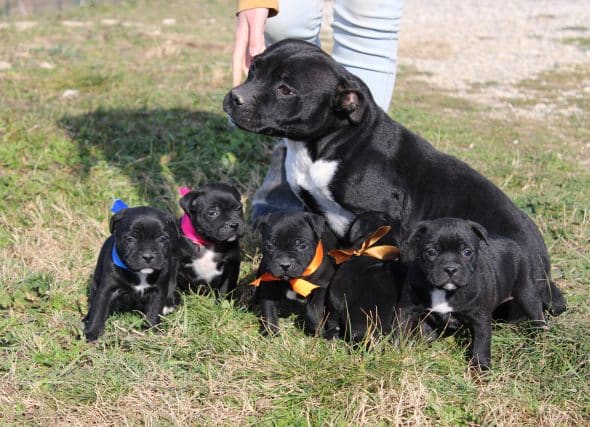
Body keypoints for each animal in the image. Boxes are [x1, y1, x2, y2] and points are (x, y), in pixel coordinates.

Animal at [82, 199, 180, 342]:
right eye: (130, 239)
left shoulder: (158, 290)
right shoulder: (107, 289)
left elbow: (153, 311)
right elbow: (98, 310)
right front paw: (91, 333)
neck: (141, 273)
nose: (148, 256)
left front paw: (151, 331)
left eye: (162, 239)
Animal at [224, 40, 568, 320]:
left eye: (286, 89)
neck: (328, 143)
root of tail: (544, 274)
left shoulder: (378, 219)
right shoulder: (318, 213)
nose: (233, 97)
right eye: (253, 68)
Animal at [400, 219, 548, 370]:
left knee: (536, 314)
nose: (450, 268)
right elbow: (401, 331)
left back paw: (539, 341)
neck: (445, 291)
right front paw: (400, 352)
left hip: (526, 292)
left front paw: (480, 369)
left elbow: (480, 345)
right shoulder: (407, 310)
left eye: (467, 252)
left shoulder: (479, 319)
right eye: (431, 252)